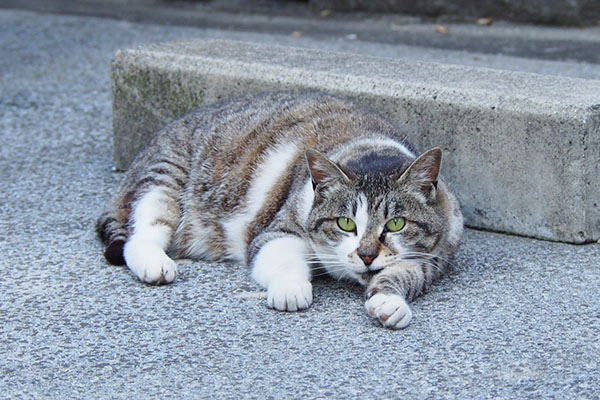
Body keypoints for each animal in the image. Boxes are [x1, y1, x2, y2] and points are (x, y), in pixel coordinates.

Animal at [97, 90, 464, 328]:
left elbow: (404, 274)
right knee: (140, 232)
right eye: (346, 223)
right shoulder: (277, 229)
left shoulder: (435, 257)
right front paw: (291, 288)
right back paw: (154, 262)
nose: (367, 254)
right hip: (165, 176)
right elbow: (282, 255)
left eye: (397, 223)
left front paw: (389, 301)